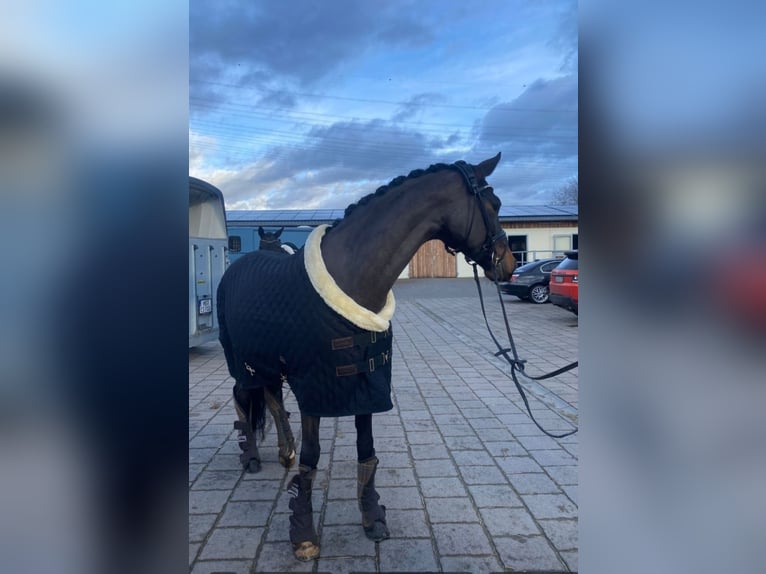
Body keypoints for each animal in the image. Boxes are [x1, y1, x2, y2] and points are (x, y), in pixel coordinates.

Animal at [216, 153, 516, 564]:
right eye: (495, 204)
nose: (509, 265)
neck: (352, 279)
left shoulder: (367, 383)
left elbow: (366, 447)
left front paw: (372, 515)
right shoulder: (315, 386)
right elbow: (312, 456)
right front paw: (303, 532)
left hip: (268, 362)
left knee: (274, 401)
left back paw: (283, 452)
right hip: (242, 359)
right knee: (243, 396)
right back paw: (250, 455)